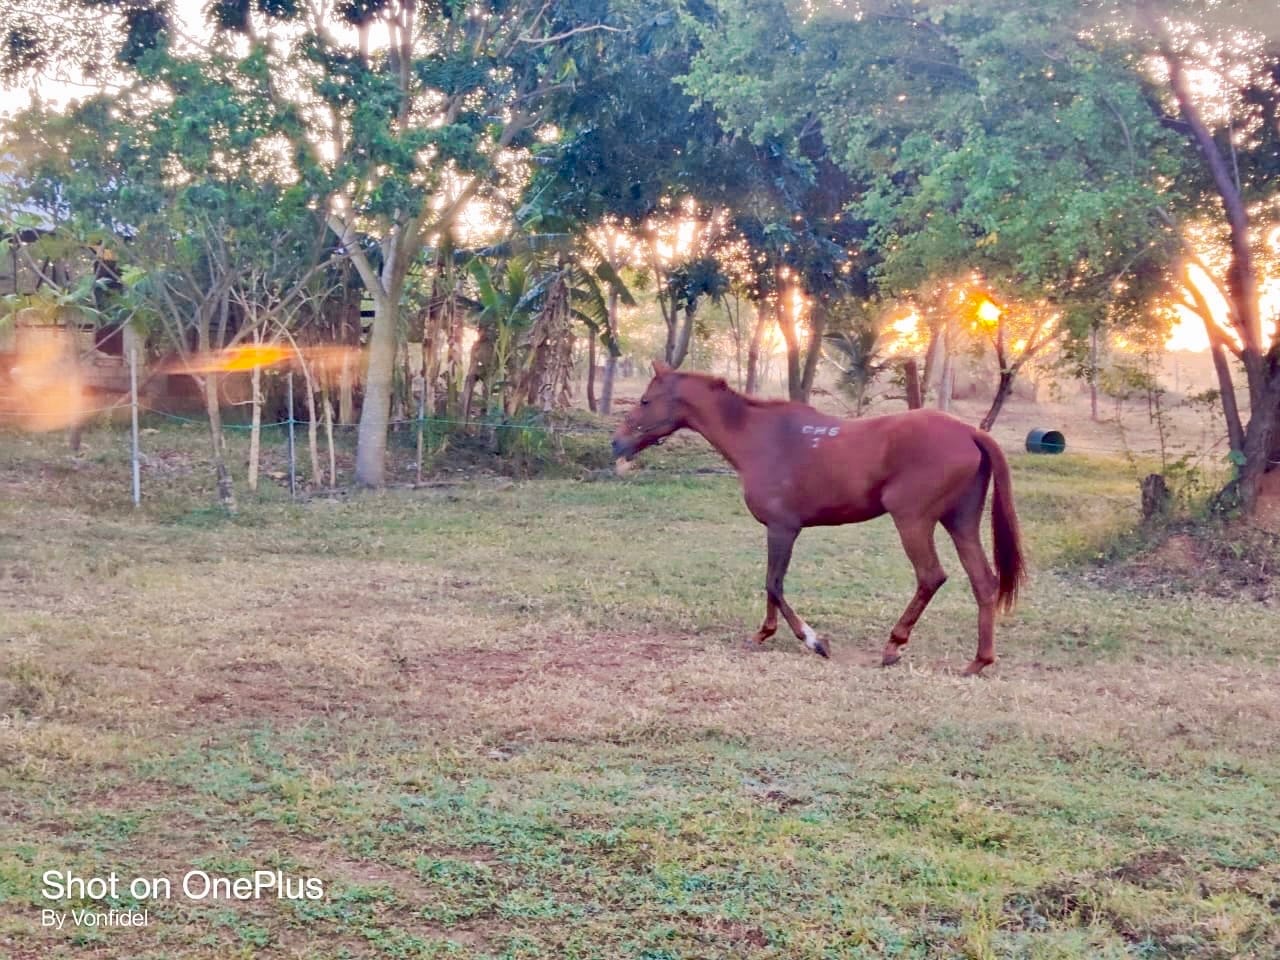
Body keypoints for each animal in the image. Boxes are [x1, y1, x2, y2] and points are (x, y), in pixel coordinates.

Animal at [610, 362, 1026, 675]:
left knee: (931, 577)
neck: (762, 438)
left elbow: (774, 584)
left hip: (913, 521)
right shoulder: (779, 531)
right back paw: (978, 662)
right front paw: (764, 634)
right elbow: (771, 585)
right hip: (960, 522)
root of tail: (971, 433)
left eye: (646, 400)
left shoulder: (783, 529)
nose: (616, 442)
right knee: (984, 583)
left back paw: (894, 645)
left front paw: (813, 641)